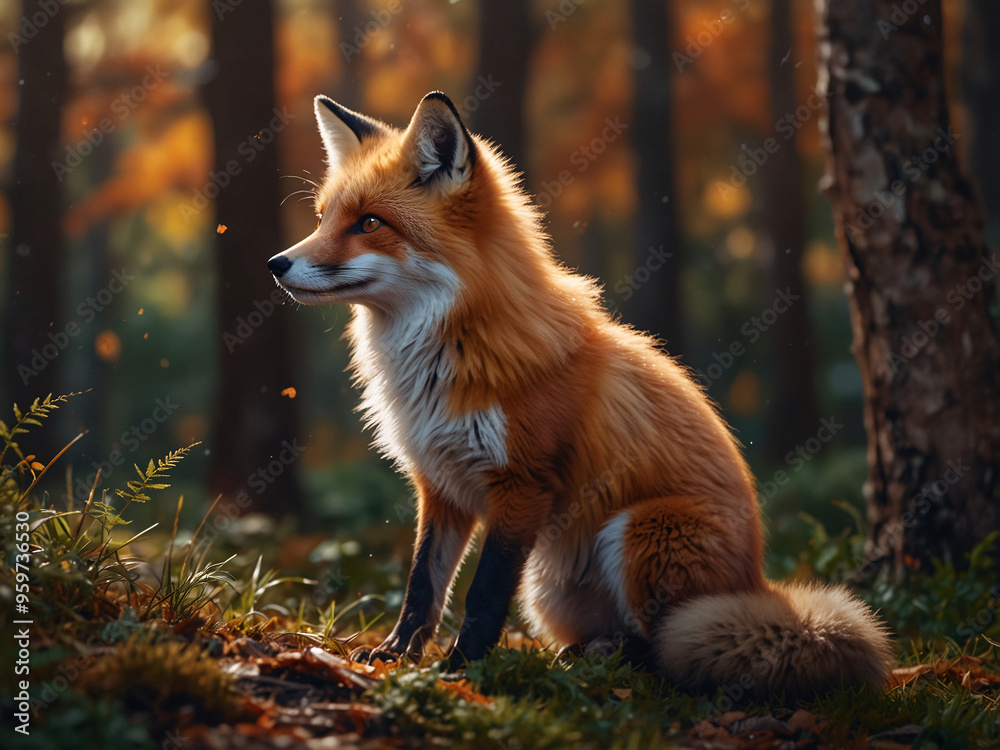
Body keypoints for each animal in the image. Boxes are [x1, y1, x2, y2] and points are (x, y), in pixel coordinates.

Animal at [267, 91, 892, 699]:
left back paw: (615, 661)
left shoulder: (523, 484)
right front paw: (396, 656)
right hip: (549, 584)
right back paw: (588, 651)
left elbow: (483, 593)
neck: (449, 355)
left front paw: (461, 669)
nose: (276, 263)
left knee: (670, 644)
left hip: (643, 529)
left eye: (370, 223)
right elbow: (423, 584)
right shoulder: (440, 485)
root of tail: (760, 583)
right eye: (323, 218)